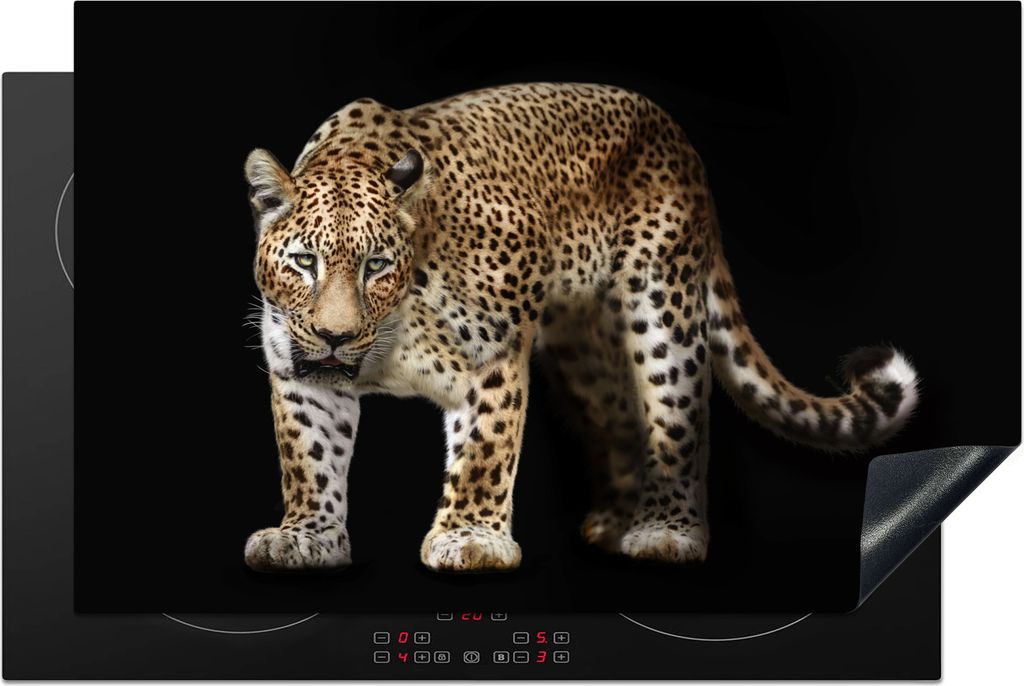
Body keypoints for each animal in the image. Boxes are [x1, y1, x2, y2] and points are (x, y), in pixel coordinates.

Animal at [242, 83, 919, 573]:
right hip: (583, 351)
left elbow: (485, 447)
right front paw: (305, 537)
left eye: (376, 265)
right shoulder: (301, 373)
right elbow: (308, 456)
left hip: (664, 308)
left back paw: (666, 531)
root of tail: (679, 139)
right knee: (621, 416)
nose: (335, 335)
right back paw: (615, 523)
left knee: (679, 419)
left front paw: (471, 538)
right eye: (305, 262)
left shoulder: (494, 349)